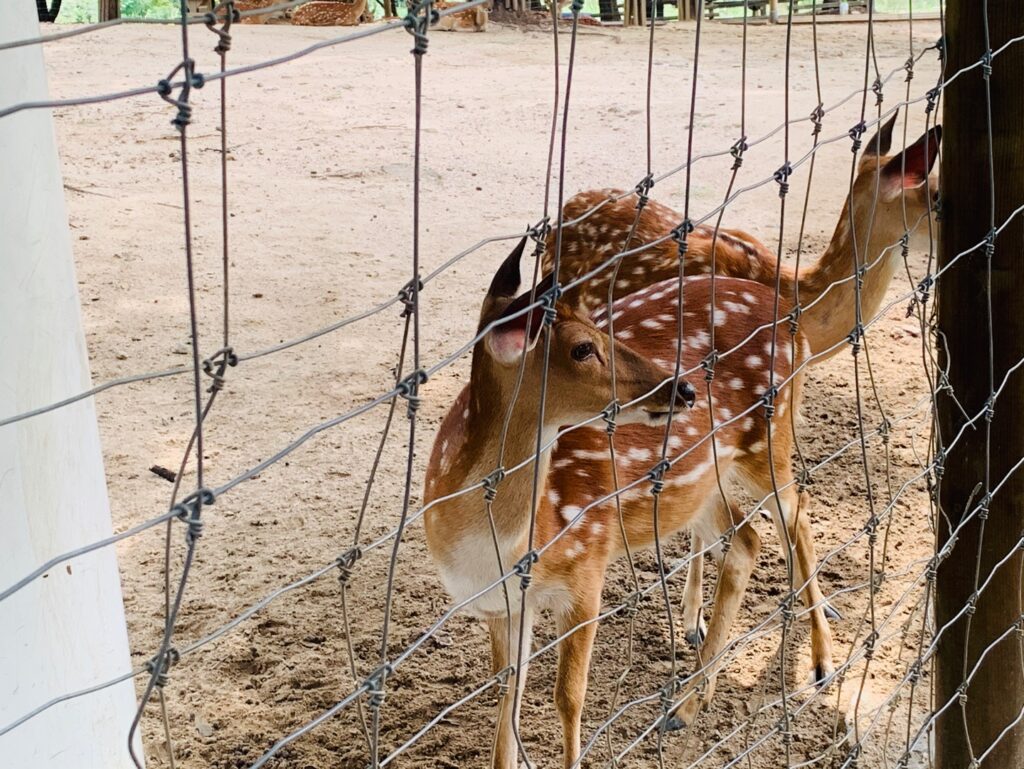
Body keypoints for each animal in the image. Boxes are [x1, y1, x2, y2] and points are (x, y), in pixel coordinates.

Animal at [421, 237, 831, 765]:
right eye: (582, 347)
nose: (683, 387)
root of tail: (790, 317)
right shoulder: (507, 605)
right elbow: (506, 701)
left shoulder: (586, 568)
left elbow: (568, 698)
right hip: (702, 479)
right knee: (747, 538)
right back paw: (689, 703)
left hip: (769, 436)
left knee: (797, 514)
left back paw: (820, 663)